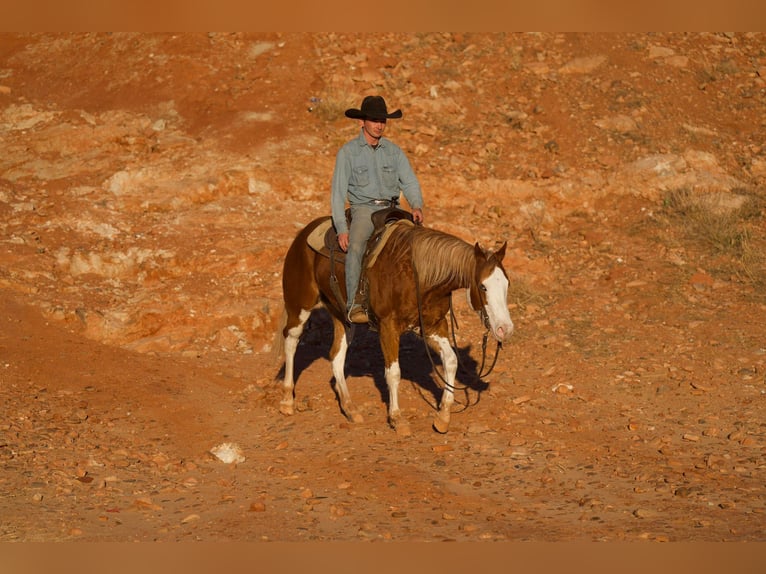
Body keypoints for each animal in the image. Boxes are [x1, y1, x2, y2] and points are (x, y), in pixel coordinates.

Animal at [272, 217, 512, 436]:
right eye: (483, 286)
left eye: (507, 284)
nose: (505, 329)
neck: (419, 277)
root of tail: (304, 233)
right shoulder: (389, 328)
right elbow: (394, 373)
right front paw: (397, 419)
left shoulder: (433, 326)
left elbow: (451, 361)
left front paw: (443, 416)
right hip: (300, 305)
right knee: (291, 340)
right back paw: (286, 401)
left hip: (342, 317)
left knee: (336, 356)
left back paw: (350, 408)